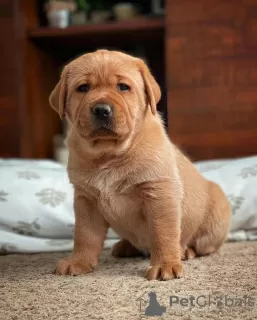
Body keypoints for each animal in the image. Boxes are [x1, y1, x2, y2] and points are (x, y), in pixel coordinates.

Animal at [48, 49, 230, 280]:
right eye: (83, 88)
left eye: (123, 87)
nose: (101, 109)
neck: (109, 155)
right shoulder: (86, 200)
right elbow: (84, 236)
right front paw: (79, 262)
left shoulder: (159, 193)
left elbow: (163, 233)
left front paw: (165, 265)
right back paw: (125, 246)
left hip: (216, 216)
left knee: (203, 245)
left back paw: (186, 251)